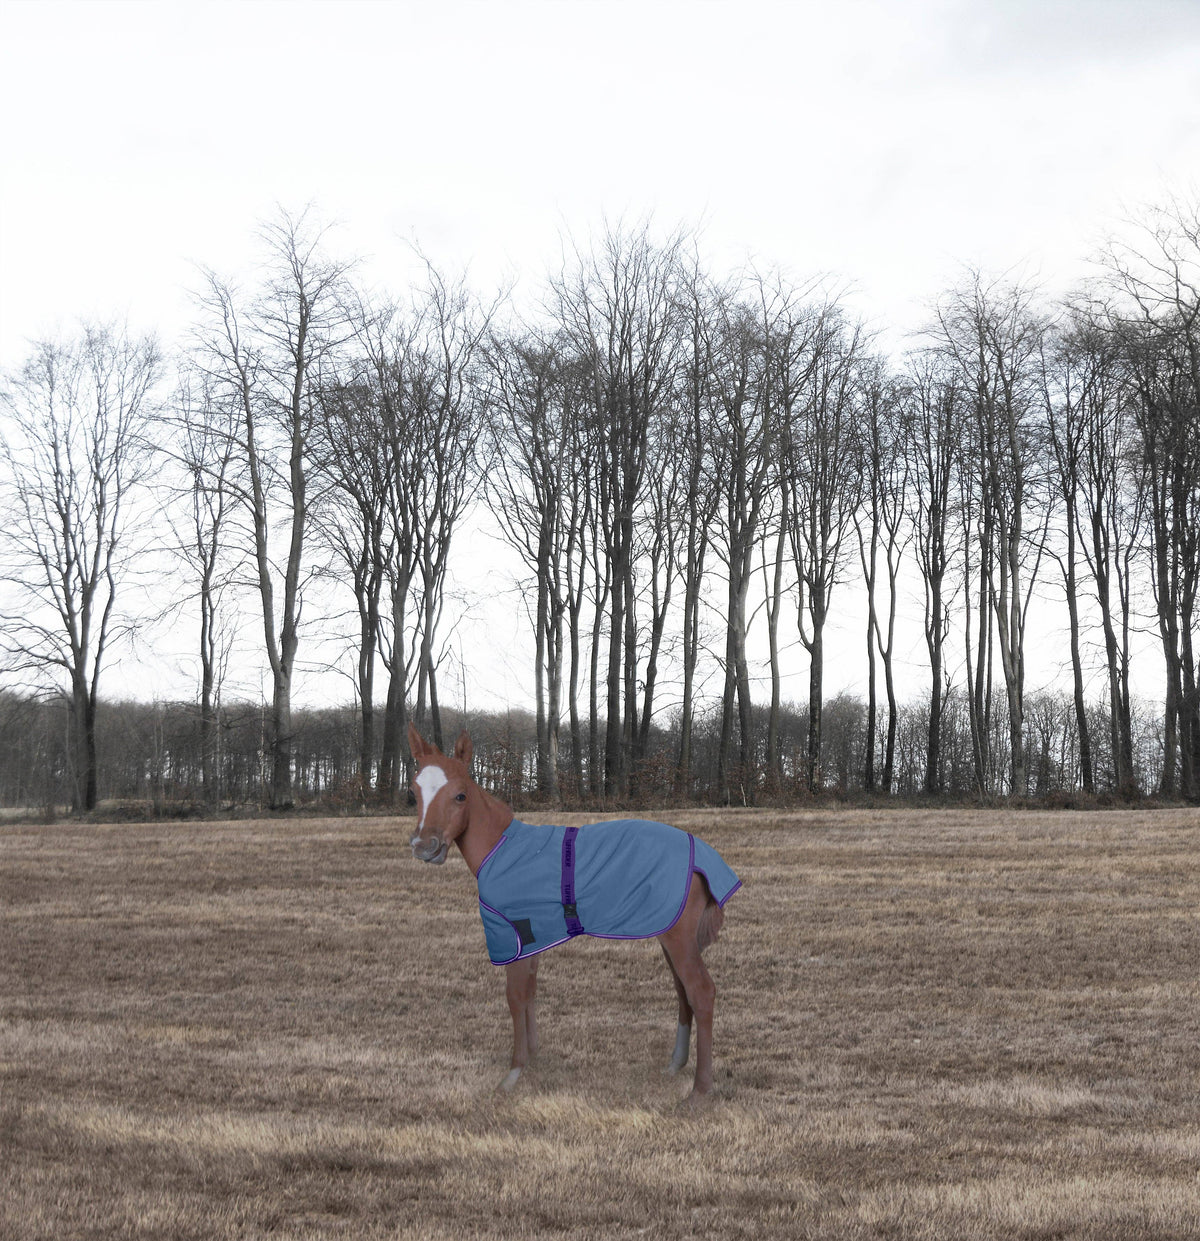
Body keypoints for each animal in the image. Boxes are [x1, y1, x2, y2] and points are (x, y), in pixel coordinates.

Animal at [406, 725, 741, 1099]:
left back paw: (700, 1089)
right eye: (414, 791)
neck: (502, 849)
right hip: (670, 935)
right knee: (683, 992)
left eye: (460, 795)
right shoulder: (533, 937)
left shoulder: (513, 935)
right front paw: (533, 1057)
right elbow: (530, 991)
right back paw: (675, 1065)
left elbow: (515, 996)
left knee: (701, 992)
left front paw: (513, 1072)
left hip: (679, 938)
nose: (425, 847)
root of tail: (702, 856)